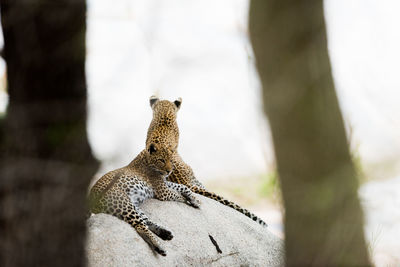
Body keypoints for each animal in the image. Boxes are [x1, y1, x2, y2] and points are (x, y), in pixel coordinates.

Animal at [87, 100, 200, 258]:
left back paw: (165, 233)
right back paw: (159, 246)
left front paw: (194, 199)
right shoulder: (163, 191)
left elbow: (184, 187)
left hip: (132, 205)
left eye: (171, 160)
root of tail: (90, 201)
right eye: (161, 160)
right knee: (140, 226)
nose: (169, 170)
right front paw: (189, 201)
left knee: (145, 222)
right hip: (124, 204)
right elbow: (178, 194)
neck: (148, 160)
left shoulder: (164, 183)